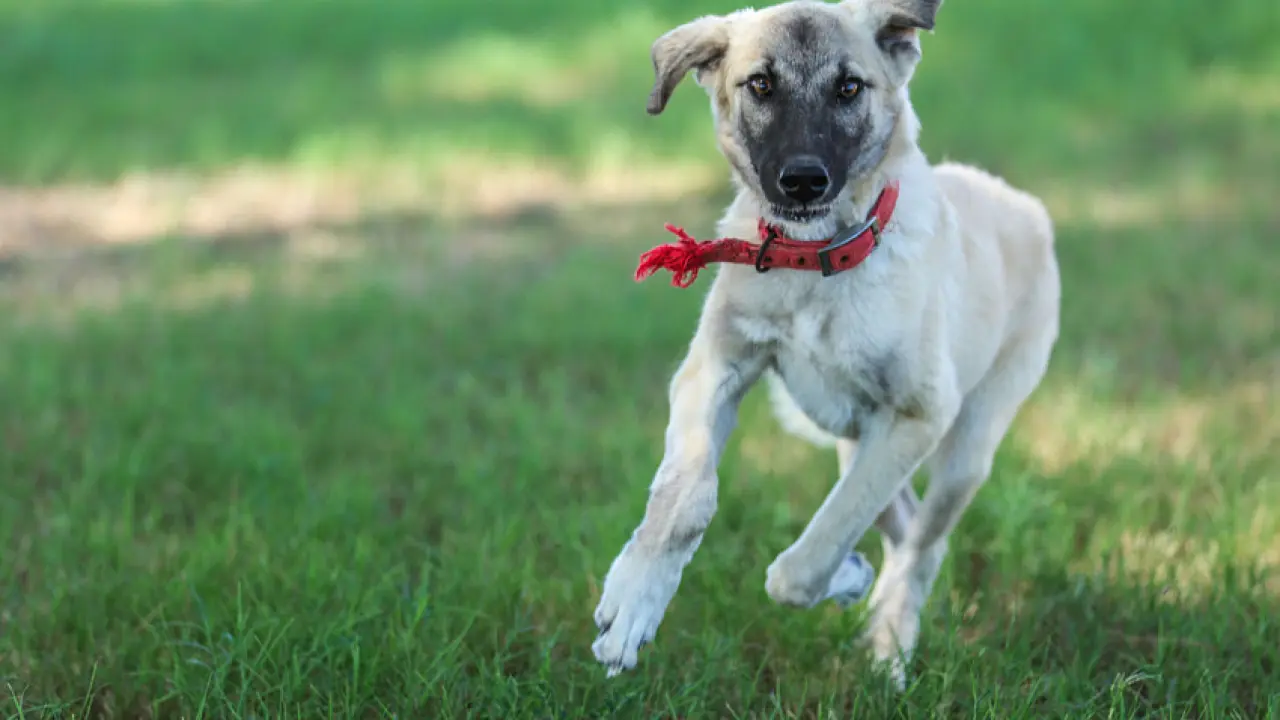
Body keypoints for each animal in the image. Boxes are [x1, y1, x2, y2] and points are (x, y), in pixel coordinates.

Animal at [588, 0, 1059, 686]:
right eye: (761, 85)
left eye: (849, 89)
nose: (803, 181)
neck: (813, 264)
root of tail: (1019, 201)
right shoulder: (714, 367)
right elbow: (687, 494)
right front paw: (633, 600)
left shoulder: (919, 413)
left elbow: (808, 558)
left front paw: (841, 582)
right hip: (856, 439)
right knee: (902, 525)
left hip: (964, 443)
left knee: (923, 544)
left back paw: (890, 641)